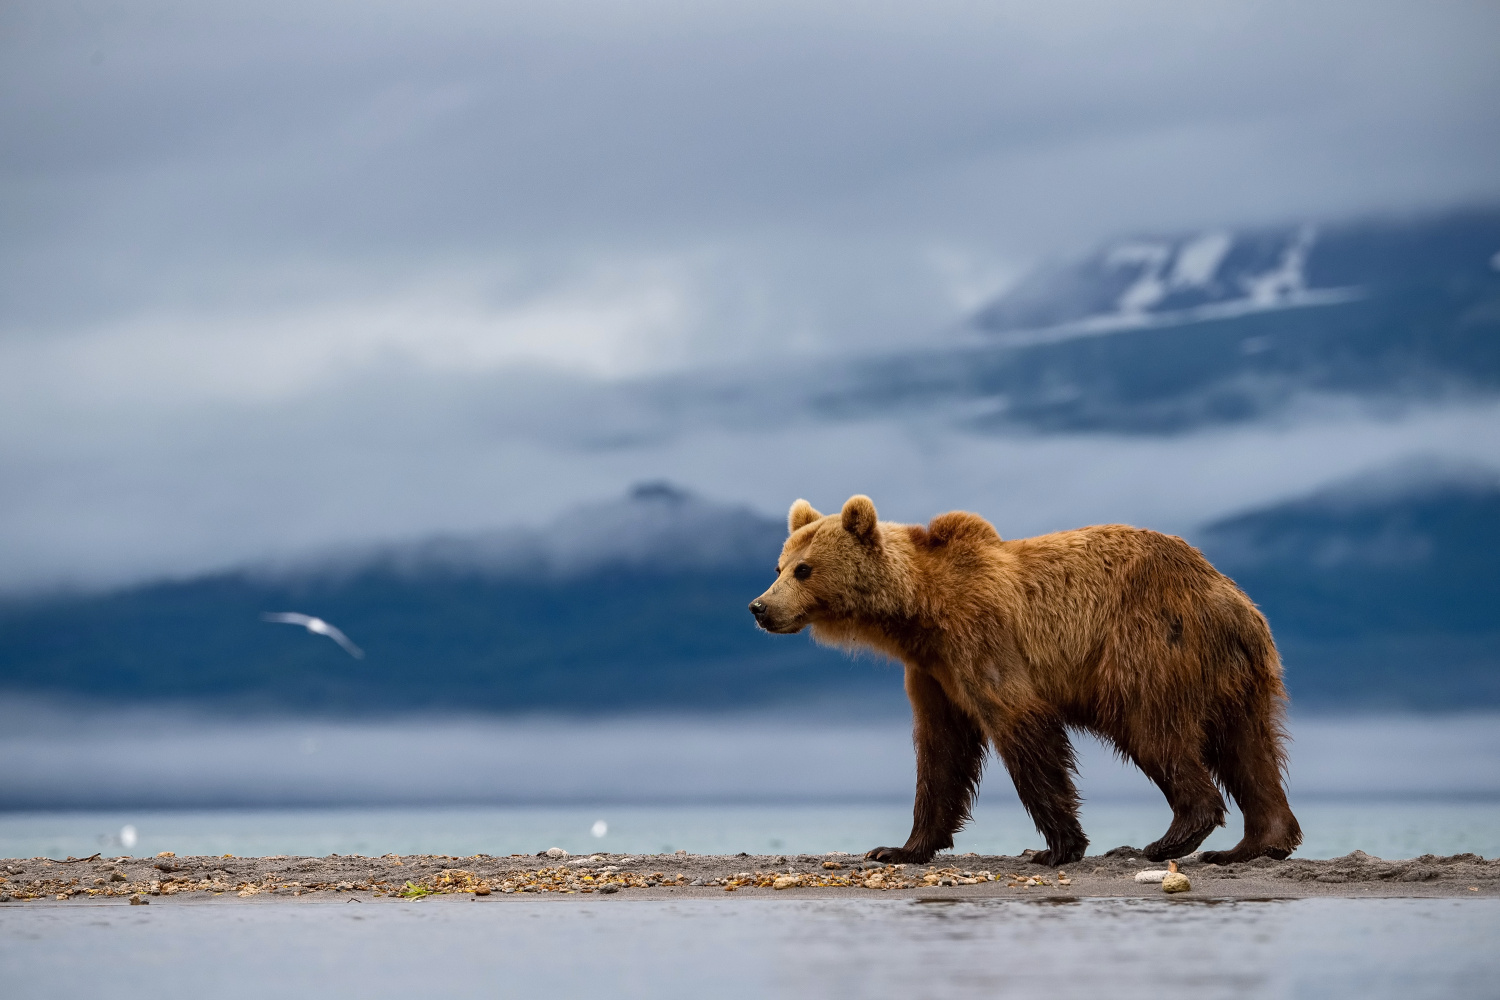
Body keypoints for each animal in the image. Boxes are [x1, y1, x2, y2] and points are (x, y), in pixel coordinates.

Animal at [750, 494, 1302, 869]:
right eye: (778, 565)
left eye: (804, 569)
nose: (759, 607)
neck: (922, 611)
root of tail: (1228, 595)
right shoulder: (933, 672)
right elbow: (940, 751)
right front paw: (899, 848)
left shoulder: (982, 639)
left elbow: (1021, 728)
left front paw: (1058, 847)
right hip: (1237, 674)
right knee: (1249, 748)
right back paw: (1256, 844)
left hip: (1148, 645)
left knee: (1154, 732)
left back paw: (1170, 837)